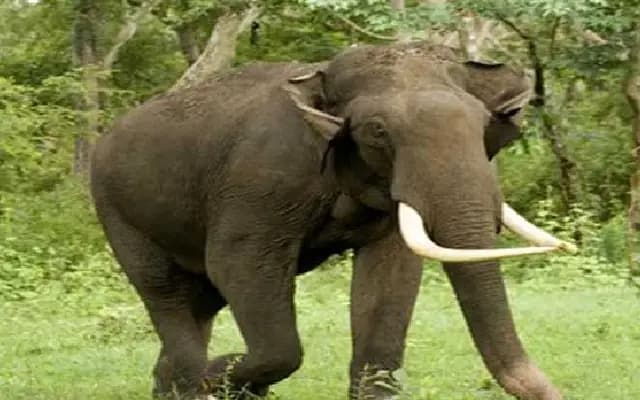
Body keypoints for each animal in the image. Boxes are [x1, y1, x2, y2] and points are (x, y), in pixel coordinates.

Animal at [90, 41, 575, 400]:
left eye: (481, 124)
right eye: (378, 131)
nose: (556, 392)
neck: (320, 77)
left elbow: (390, 277)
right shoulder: (260, 179)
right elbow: (237, 266)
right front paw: (221, 374)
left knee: (200, 302)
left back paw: (172, 383)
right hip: (118, 212)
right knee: (166, 292)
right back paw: (194, 378)